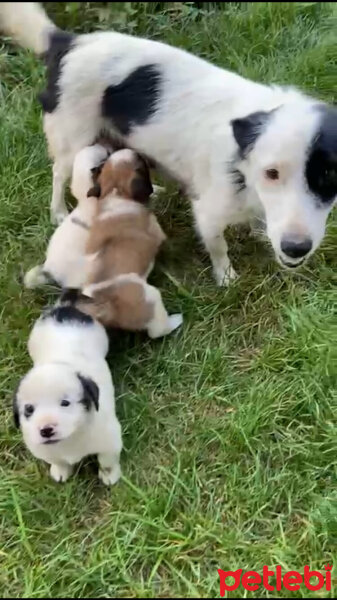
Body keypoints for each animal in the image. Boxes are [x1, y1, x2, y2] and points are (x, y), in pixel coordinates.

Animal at [14, 298, 122, 486]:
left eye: (65, 403)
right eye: (29, 409)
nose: (46, 430)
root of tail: (65, 306)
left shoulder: (110, 441)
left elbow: (107, 462)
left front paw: (110, 476)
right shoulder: (45, 451)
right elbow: (59, 462)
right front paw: (60, 471)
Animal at [79, 149, 182, 338]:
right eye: (141, 164)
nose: (137, 151)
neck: (115, 192)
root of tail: (107, 306)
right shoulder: (156, 231)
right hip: (152, 297)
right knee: (157, 331)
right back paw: (176, 320)